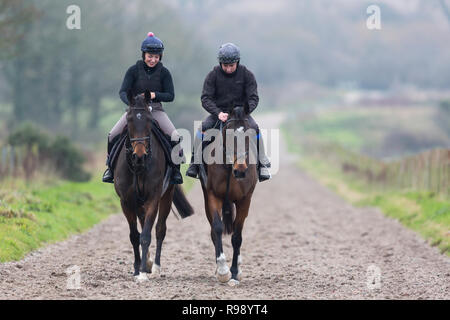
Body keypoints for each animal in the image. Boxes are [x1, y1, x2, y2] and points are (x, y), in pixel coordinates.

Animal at [113, 89, 192, 282]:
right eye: (129, 120)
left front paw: (142, 272)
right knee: (142, 225)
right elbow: (135, 236)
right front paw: (137, 268)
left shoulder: (153, 199)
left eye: (149, 120)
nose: (139, 156)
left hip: (166, 196)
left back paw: (155, 266)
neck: (138, 168)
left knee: (160, 229)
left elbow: (146, 235)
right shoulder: (126, 202)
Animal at [200, 106, 258, 286]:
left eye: (248, 136)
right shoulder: (213, 196)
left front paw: (234, 273)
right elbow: (217, 228)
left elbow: (237, 237)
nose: (240, 171)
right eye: (229, 135)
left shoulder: (244, 200)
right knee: (214, 230)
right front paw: (223, 271)